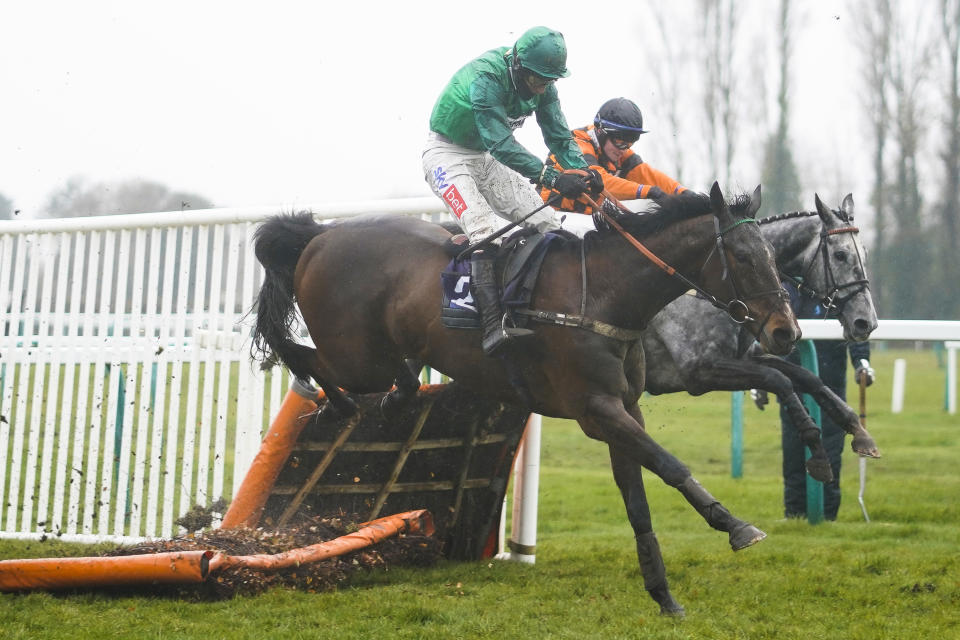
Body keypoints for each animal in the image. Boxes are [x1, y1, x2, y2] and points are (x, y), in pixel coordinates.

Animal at [253, 181, 804, 616]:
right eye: (745, 258)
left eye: (773, 257)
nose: (786, 332)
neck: (604, 294)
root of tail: (319, 236)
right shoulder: (595, 409)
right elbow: (670, 466)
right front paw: (735, 526)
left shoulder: (624, 409)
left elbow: (637, 502)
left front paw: (663, 595)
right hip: (356, 358)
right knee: (301, 354)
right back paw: (340, 403)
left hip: (374, 356)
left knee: (376, 374)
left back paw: (390, 397)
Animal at [640, 195, 880, 480]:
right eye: (840, 255)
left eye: (865, 254)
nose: (866, 322)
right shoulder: (699, 370)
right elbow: (779, 380)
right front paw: (816, 446)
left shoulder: (748, 356)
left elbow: (806, 377)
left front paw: (859, 430)